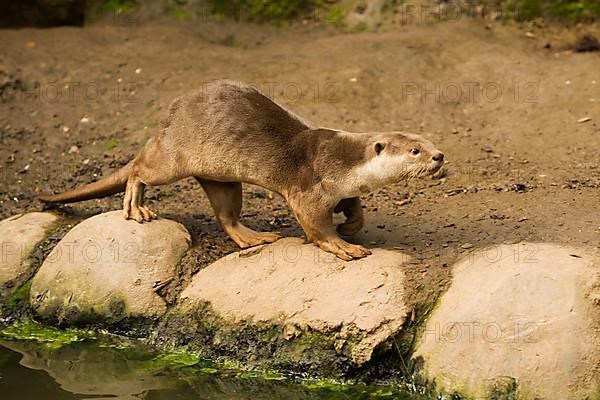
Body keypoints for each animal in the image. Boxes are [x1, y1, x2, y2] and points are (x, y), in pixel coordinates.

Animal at [39, 79, 442, 260]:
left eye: (430, 143)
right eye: (415, 151)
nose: (440, 157)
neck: (345, 159)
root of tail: (167, 121)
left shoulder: (343, 187)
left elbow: (354, 206)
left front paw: (351, 226)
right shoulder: (310, 187)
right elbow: (315, 223)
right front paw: (342, 244)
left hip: (222, 178)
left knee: (227, 214)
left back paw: (254, 238)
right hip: (171, 159)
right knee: (140, 169)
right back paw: (137, 207)